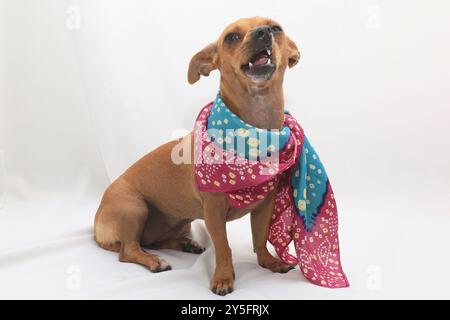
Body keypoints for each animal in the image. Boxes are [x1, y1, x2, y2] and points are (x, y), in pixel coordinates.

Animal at [93, 16, 300, 296]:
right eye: (231, 37)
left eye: (276, 28)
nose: (262, 32)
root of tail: (96, 226)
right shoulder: (213, 214)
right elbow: (224, 248)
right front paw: (223, 278)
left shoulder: (264, 207)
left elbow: (259, 239)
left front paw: (270, 262)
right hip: (134, 208)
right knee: (128, 250)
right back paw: (154, 261)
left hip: (181, 221)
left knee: (153, 241)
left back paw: (185, 244)